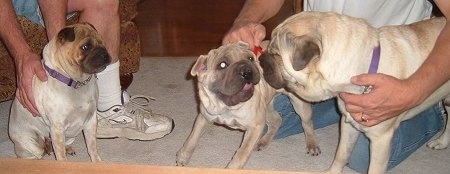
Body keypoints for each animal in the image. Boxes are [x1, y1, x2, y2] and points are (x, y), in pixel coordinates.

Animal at [8, 23, 110, 162]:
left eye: (102, 42)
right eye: (86, 46)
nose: (105, 54)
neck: (77, 83)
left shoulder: (91, 121)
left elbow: (92, 147)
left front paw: (97, 162)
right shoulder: (57, 128)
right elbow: (61, 157)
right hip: (33, 144)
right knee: (36, 155)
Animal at [176, 41, 320, 169]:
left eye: (250, 58)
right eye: (222, 65)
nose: (246, 70)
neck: (227, 106)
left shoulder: (254, 127)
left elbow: (241, 154)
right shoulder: (204, 117)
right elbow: (192, 139)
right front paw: (183, 157)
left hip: (299, 105)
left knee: (307, 124)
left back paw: (312, 144)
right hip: (267, 106)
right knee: (277, 120)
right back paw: (263, 142)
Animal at [260, 11, 450, 173]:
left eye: (275, 54)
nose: (261, 57)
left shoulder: (381, 141)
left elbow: (373, 169)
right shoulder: (348, 124)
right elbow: (341, 154)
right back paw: (441, 142)